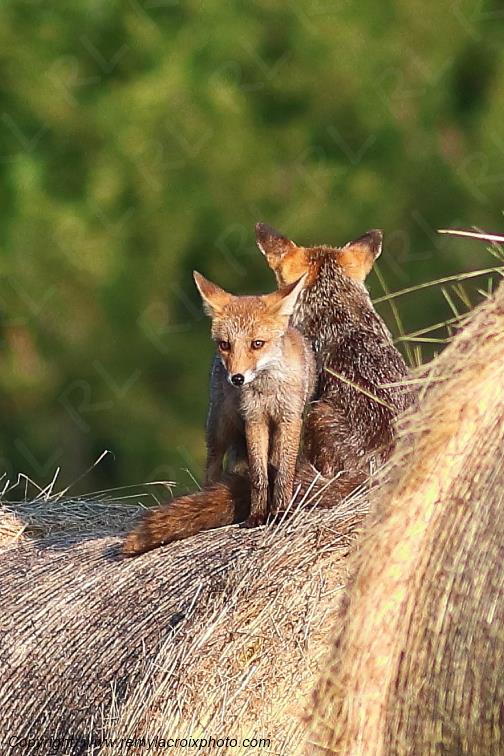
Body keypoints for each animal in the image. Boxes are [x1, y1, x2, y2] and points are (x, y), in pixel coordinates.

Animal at [193, 271, 316, 528]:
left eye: (257, 343)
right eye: (225, 345)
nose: (237, 378)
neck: (267, 391)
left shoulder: (289, 420)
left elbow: (283, 473)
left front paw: (281, 511)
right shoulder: (254, 420)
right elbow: (259, 476)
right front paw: (257, 515)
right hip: (220, 428)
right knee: (213, 466)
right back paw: (207, 496)